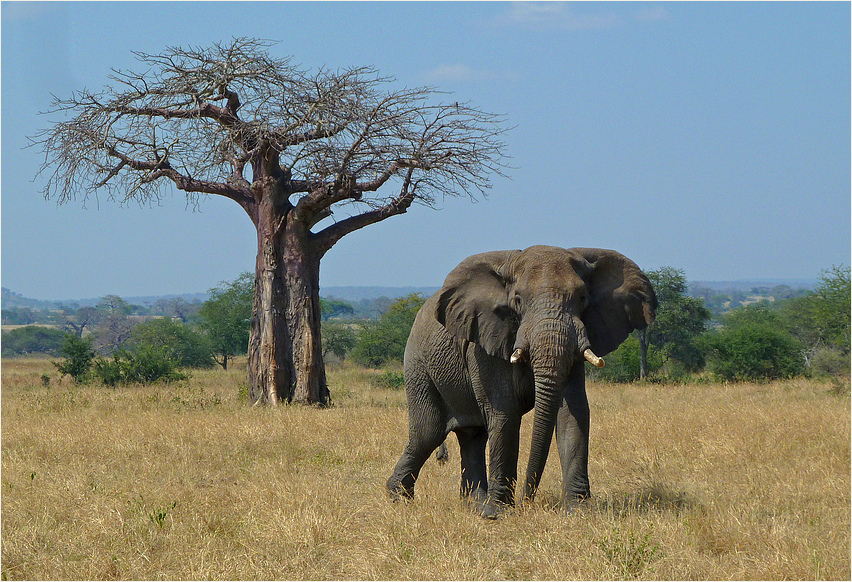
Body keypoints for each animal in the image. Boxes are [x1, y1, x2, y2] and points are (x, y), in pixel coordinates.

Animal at [386, 246, 660, 520]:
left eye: (582, 297)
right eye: (517, 300)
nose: (528, 499)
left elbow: (573, 412)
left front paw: (578, 511)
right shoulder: (486, 341)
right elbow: (505, 413)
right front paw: (497, 514)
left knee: (472, 436)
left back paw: (475, 505)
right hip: (418, 366)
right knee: (428, 433)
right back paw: (398, 499)